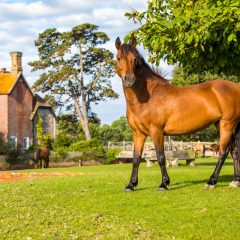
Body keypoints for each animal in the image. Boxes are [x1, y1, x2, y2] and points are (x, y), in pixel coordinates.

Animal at [114, 37, 240, 191]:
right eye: (119, 58)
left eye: (135, 59)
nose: (129, 79)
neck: (147, 96)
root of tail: (236, 87)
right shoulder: (138, 134)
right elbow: (136, 158)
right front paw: (131, 185)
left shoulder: (156, 131)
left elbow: (161, 156)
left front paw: (164, 183)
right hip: (223, 125)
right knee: (234, 152)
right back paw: (235, 181)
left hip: (227, 125)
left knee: (223, 152)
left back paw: (211, 182)